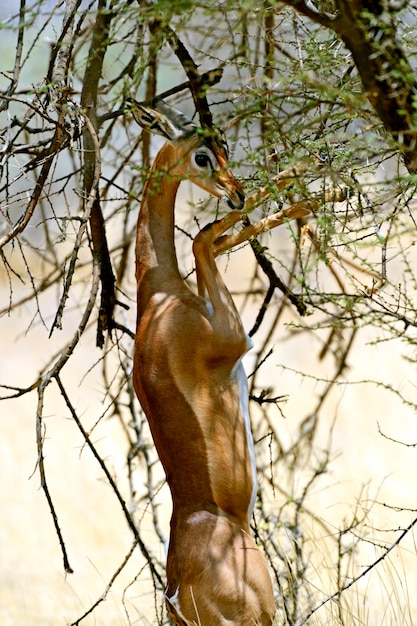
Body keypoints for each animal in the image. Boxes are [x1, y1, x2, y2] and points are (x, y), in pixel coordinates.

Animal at [132, 100, 274, 620]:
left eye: (225, 145)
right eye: (202, 156)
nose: (236, 192)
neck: (158, 295)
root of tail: (176, 591)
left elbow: (207, 238)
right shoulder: (234, 338)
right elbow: (200, 238)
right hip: (264, 614)